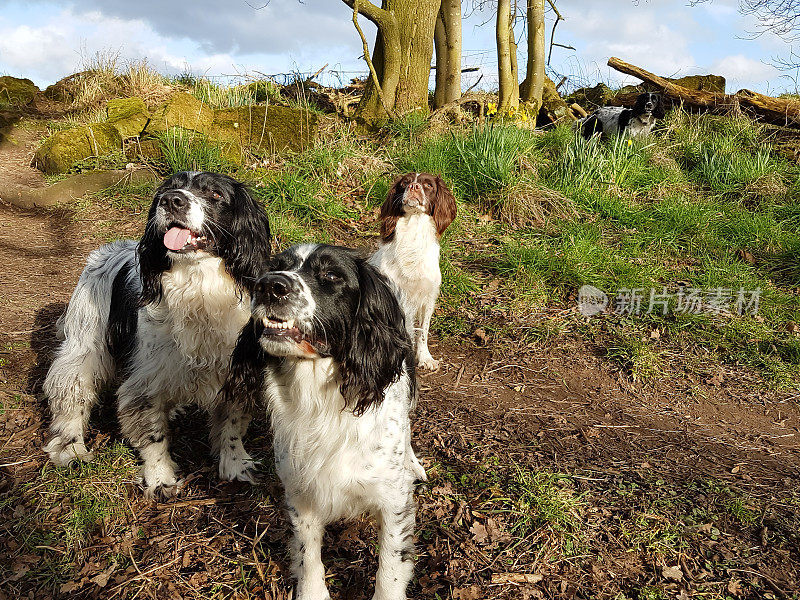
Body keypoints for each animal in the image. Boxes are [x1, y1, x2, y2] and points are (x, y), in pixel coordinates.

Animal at [43, 172, 272, 496]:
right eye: (167, 189)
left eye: (215, 194)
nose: (171, 200)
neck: (199, 286)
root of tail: (107, 251)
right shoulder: (146, 382)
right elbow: (153, 435)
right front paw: (161, 478)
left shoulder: (240, 372)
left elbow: (232, 424)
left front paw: (235, 465)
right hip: (83, 348)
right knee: (71, 396)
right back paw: (71, 448)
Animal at [219, 244, 418, 600]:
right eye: (276, 266)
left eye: (331, 275)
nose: (269, 286)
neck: (320, 400)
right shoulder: (300, 489)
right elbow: (307, 550)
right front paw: (312, 590)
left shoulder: (394, 500)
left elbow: (391, 565)